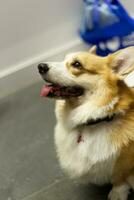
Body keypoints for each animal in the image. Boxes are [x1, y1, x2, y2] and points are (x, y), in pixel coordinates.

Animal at [37, 46, 134, 199]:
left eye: (77, 64)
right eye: (64, 59)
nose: (40, 66)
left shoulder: (123, 162)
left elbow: (119, 176)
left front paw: (117, 193)